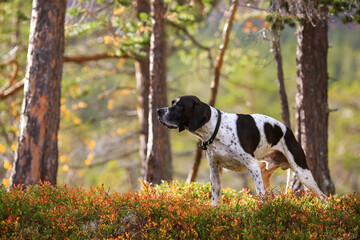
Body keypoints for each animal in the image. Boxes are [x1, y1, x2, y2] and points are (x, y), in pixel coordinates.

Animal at [158, 95, 326, 206]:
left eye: (180, 105)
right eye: (172, 103)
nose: (158, 111)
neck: (217, 128)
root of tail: (288, 130)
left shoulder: (252, 165)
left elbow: (260, 196)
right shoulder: (215, 171)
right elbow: (215, 199)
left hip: (302, 173)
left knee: (324, 196)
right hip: (264, 173)